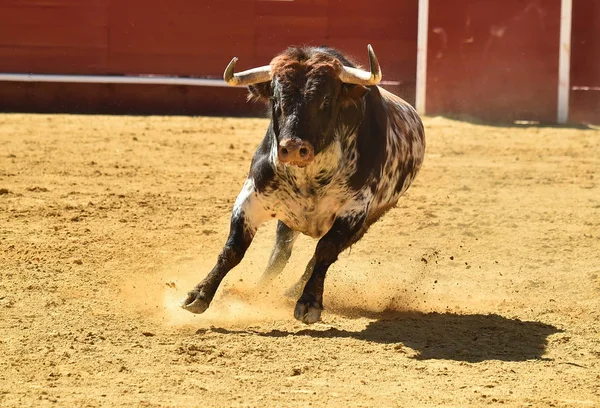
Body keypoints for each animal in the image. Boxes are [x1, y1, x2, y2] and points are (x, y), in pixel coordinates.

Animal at [180, 44, 424, 324]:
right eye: (276, 100)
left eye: (326, 100)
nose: (295, 147)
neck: (310, 176)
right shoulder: (251, 197)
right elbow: (233, 248)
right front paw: (199, 294)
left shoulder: (354, 210)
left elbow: (325, 251)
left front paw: (309, 303)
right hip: (288, 218)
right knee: (280, 254)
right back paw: (257, 292)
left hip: (367, 221)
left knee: (319, 256)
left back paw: (291, 293)